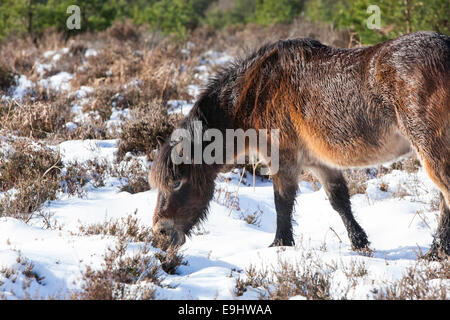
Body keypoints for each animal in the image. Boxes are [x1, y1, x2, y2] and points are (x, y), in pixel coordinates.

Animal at [149, 31, 448, 258]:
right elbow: (340, 202)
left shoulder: (283, 159)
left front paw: (280, 245)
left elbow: (282, 202)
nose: (161, 233)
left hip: (431, 149)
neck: (258, 91)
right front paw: (360, 243)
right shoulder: (321, 162)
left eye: (177, 182)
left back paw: (435, 253)